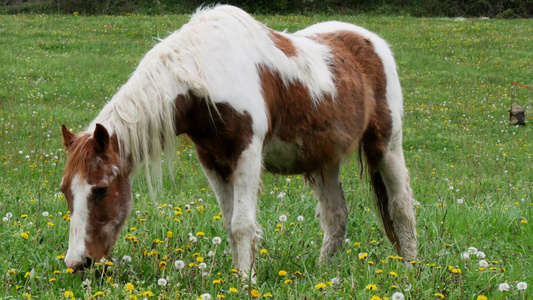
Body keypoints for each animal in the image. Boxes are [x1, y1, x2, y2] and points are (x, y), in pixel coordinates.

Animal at [58, 4, 416, 276]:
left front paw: (246, 281)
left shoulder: (247, 152)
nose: (77, 262)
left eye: (101, 189)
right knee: (336, 217)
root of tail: (371, 40)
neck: (203, 75)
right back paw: (322, 273)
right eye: (65, 191)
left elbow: (243, 224)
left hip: (386, 145)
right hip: (325, 160)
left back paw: (409, 269)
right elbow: (230, 225)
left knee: (400, 206)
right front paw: (237, 277)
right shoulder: (212, 160)